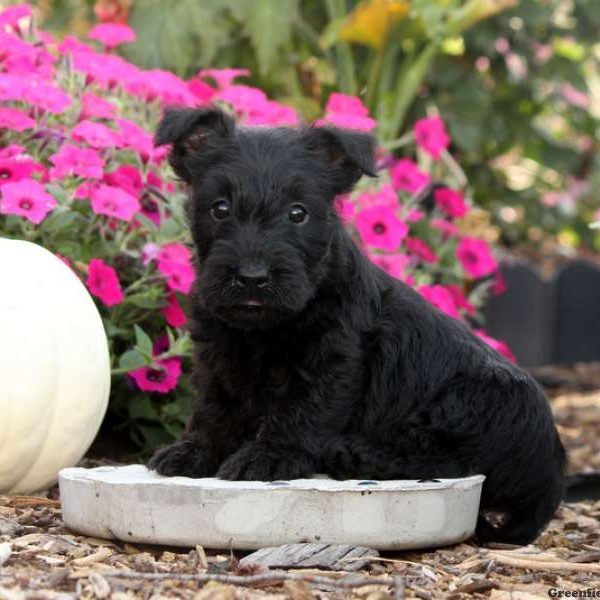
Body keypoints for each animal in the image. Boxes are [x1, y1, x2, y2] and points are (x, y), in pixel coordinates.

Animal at [148, 105, 564, 548]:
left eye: (298, 212)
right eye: (220, 208)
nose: (252, 277)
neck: (266, 328)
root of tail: (552, 474)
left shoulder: (333, 361)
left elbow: (303, 412)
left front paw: (268, 456)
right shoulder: (217, 357)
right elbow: (213, 408)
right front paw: (192, 450)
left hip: (475, 399)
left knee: (453, 460)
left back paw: (353, 454)